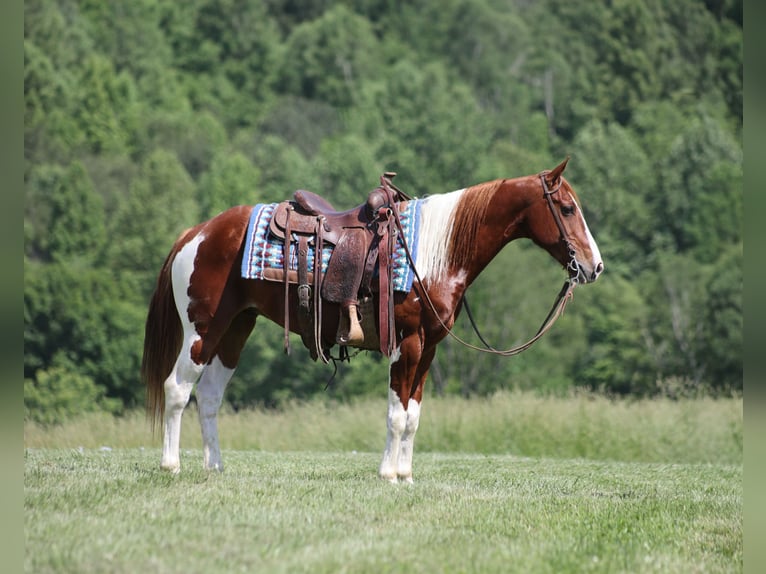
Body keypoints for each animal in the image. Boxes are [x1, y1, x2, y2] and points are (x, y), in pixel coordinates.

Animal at [141, 157, 603, 482]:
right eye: (566, 208)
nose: (594, 266)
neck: (433, 254)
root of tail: (197, 232)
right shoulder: (407, 343)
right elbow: (397, 414)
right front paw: (388, 475)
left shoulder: (429, 349)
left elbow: (413, 415)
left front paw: (407, 475)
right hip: (201, 329)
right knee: (177, 389)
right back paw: (170, 465)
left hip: (235, 329)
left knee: (210, 397)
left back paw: (214, 467)